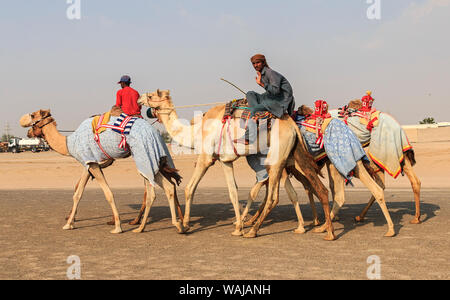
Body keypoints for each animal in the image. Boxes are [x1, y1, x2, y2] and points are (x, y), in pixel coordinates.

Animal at [18, 108, 185, 234]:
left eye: (33, 115)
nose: (27, 133)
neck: (68, 142)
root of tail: (156, 133)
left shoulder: (91, 162)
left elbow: (108, 193)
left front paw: (117, 227)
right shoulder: (90, 163)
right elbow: (78, 193)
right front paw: (69, 223)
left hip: (143, 154)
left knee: (152, 192)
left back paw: (143, 227)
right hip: (155, 158)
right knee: (169, 187)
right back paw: (178, 225)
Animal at [137, 89, 338, 241]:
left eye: (151, 95)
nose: (139, 99)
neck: (197, 131)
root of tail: (291, 125)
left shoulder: (206, 157)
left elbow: (189, 188)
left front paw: (185, 225)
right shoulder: (225, 161)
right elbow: (233, 192)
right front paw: (237, 227)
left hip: (276, 157)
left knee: (274, 196)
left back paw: (254, 231)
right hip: (294, 155)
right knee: (318, 188)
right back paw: (323, 231)